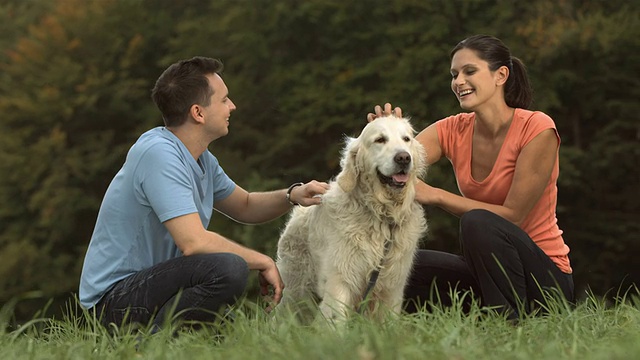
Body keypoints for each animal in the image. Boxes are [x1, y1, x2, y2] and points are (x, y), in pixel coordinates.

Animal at [278, 116, 428, 324]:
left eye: (406, 139)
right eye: (380, 139)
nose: (404, 158)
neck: (382, 216)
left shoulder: (392, 287)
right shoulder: (341, 278)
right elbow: (335, 318)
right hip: (297, 287)